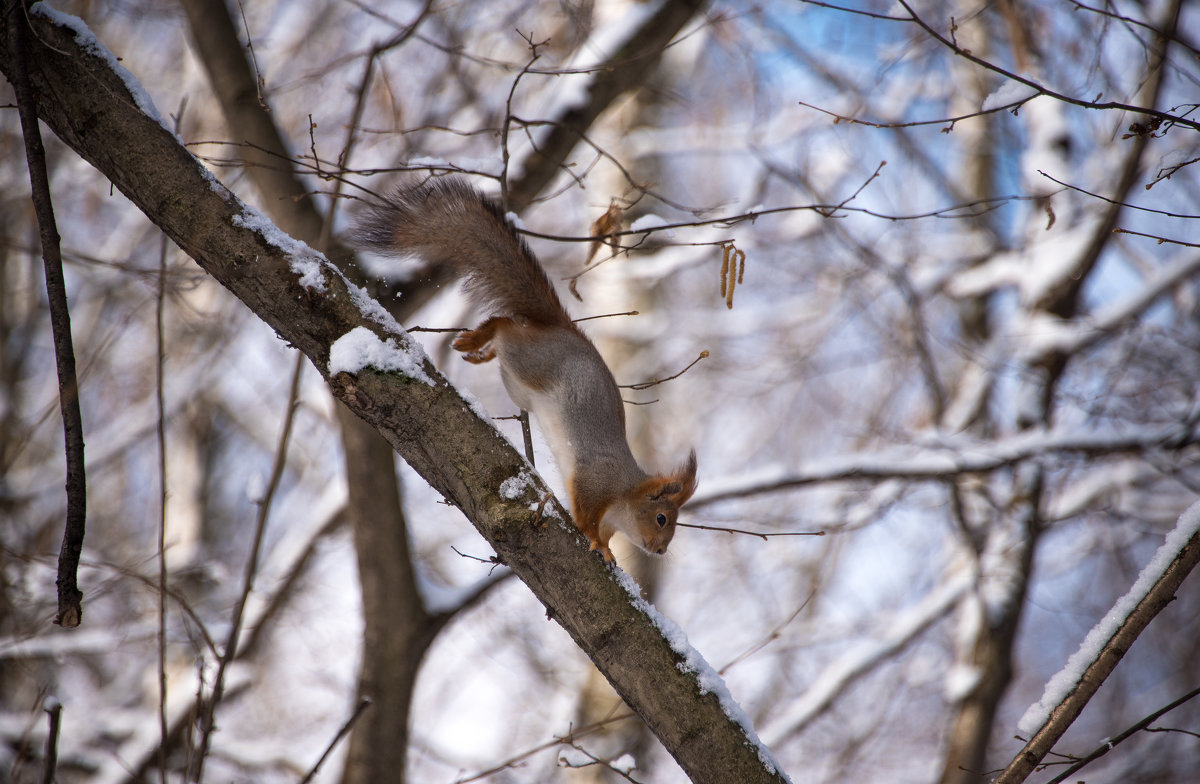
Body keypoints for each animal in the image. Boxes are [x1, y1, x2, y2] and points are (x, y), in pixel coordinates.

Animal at [350, 178, 700, 557]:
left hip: (516, 381)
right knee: (505, 326)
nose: (661, 550)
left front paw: (608, 551)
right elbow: (586, 515)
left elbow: (606, 536)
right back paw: (477, 340)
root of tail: (561, 328)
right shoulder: (592, 483)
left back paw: (481, 354)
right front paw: (593, 539)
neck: (623, 495)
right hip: (529, 362)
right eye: (662, 518)